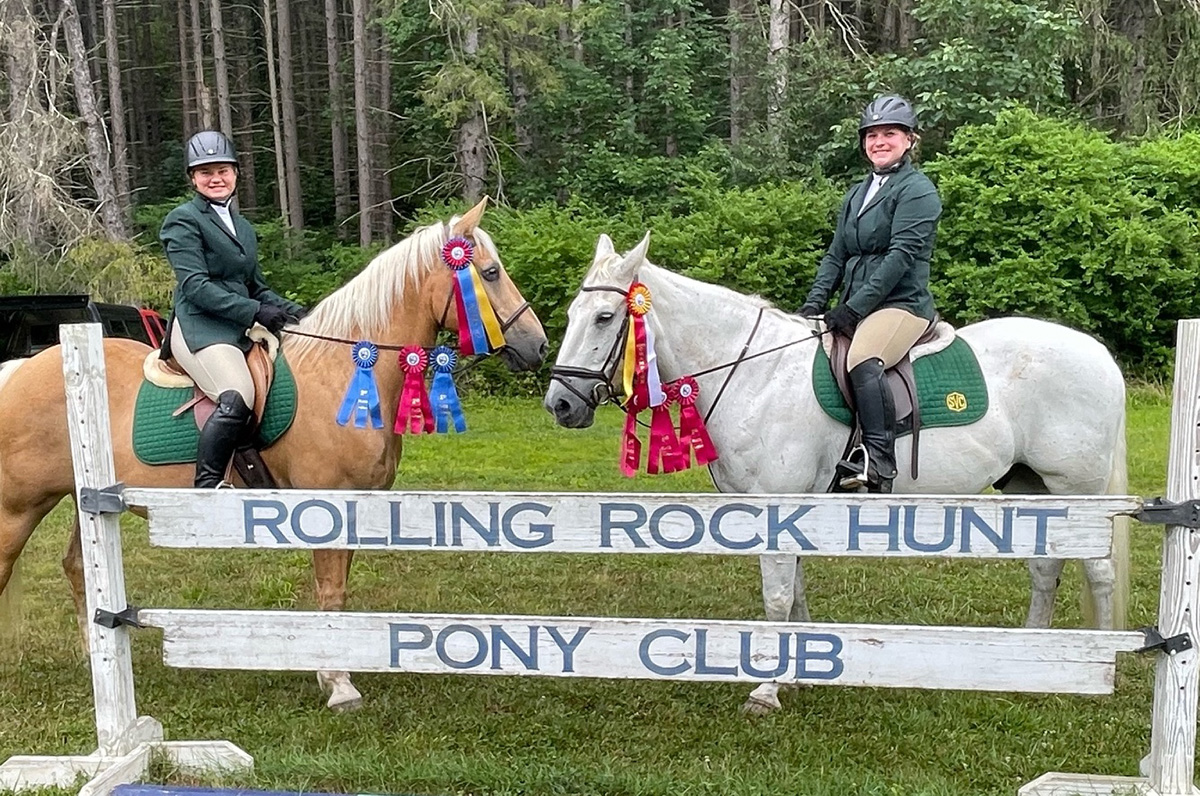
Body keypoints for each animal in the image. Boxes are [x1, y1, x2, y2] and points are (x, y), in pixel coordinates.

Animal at [0, 199, 549, 710]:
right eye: (491, 273)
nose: (538, 347)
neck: (345, 377)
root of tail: (18, 369)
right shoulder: (329, 506)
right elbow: (331, 592)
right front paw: (339, 685)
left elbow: (339, 592)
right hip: (18, 508)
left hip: (82, 499)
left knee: (77, 567)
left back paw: (99, 657)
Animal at [549, 230, 1128, 715]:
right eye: (575, 312)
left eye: (605, 317)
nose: (560, 404)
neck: (756, 374)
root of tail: (1100, 355)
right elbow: (797, 592)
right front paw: (801, 674)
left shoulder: (776, 504)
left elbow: (778, 597)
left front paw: (766, 691)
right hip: (1033, 487)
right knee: (1046, 567)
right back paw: (1031, 663)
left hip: (1079, 490)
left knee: (1098, 574)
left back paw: (1104, 672)